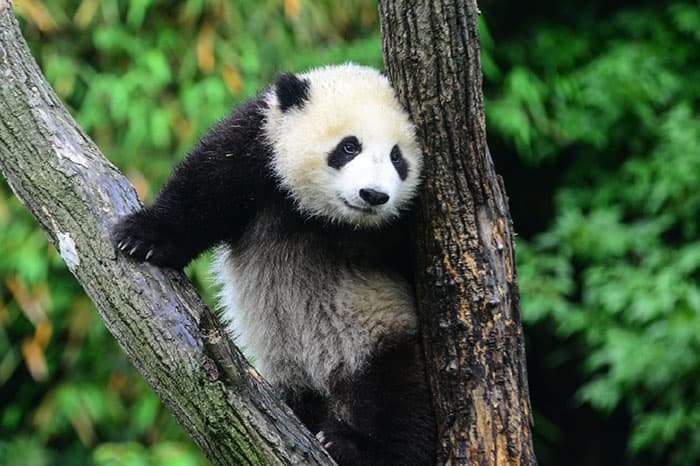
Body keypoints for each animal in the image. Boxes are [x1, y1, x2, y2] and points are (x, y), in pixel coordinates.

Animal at [112, 63, 436, 466]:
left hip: (378, 334)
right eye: (349, 146)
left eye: (397, 158)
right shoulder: (258, 144)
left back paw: (350, 445)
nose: (374, 195)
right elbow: (201, 194)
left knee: (402, 398)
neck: (324, 218)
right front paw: (140, 237)